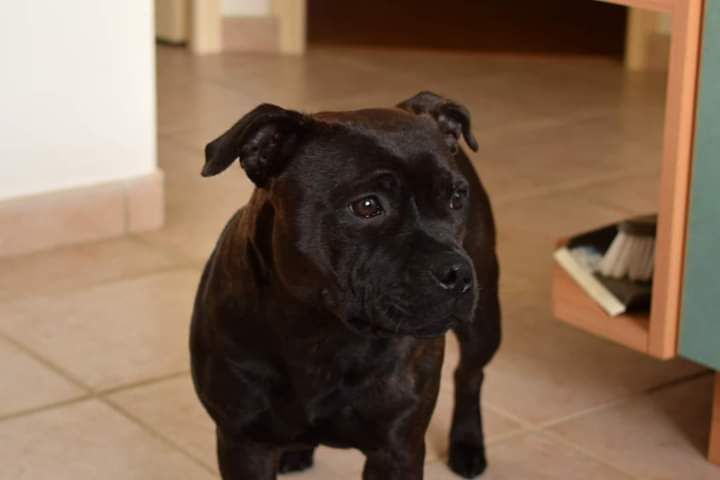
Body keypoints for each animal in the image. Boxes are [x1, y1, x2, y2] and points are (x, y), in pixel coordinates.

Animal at [190, 91, 501, 480]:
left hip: (484, 323)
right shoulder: (244, 444)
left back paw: (468, 445)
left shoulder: (397, 450)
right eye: (367, 205)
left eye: (456, 199)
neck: (321, 331)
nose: (456, 272)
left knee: (470, 375)